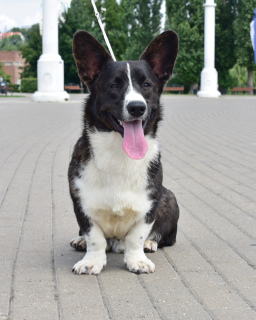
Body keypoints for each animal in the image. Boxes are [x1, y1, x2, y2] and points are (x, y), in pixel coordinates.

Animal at [68, 30, 180, 276]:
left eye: (146, 84)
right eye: (114, 85)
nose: (137, 107)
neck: (119, 151)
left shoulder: (149, 204)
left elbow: (136, 236)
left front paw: (137, 260)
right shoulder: (82, 204)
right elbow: (94, 237)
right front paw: (92, 261)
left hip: (169, 198)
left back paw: (151, 243)